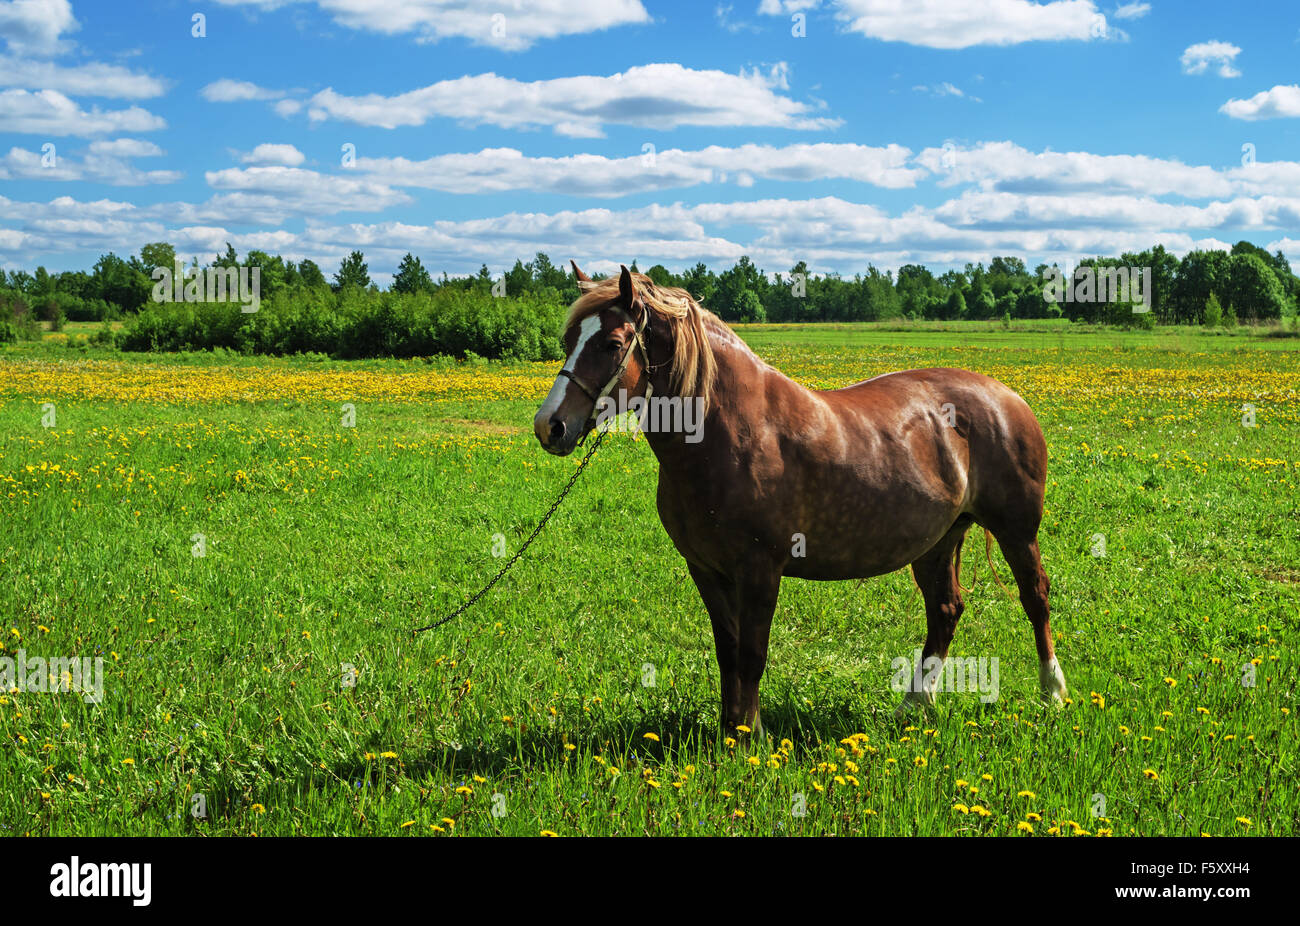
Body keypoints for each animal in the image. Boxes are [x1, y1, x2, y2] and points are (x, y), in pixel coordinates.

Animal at [533, 264, 1071, 733]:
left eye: (613, 343)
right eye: (569, 340)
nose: (550, 426)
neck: (724, 434)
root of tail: (1008, 397)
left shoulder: (760, 568)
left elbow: (751, 654)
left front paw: (749, 735)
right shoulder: (706, 569)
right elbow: (727, 651)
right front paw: (728, 729)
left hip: (1017, 531)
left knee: (1035, 597)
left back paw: (1053, 692)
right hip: (939, 540)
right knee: (945, 610)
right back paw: (914, 706)